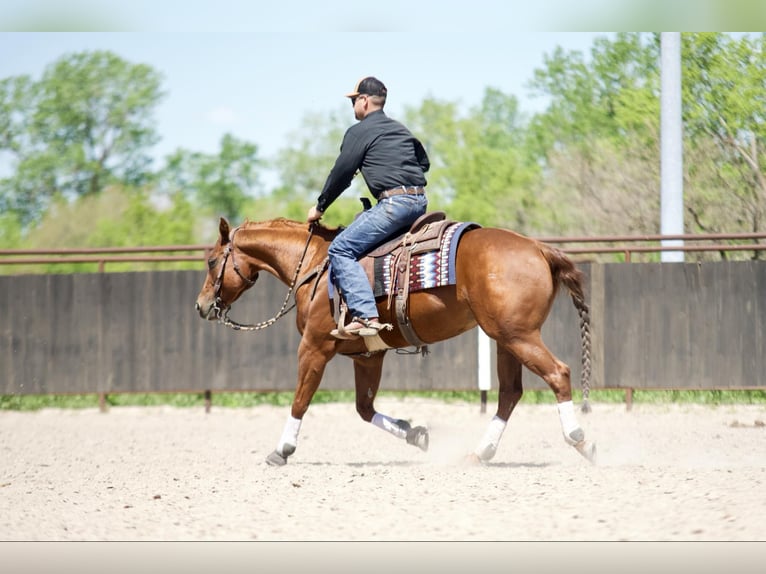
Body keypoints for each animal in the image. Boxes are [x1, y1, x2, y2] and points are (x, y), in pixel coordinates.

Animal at [195, 218, 596, 466]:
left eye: (213, 261)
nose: (201, 306)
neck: (316, 265)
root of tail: (538, 248)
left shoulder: (314, 347)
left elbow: (300, 401)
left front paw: (282, 450)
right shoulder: (367, 357)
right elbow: (364, 408)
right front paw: (414, 433)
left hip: (519, 337)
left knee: (558, 374)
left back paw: (580, 439)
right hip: (505, 340)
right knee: (510, 394)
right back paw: (480, 453)